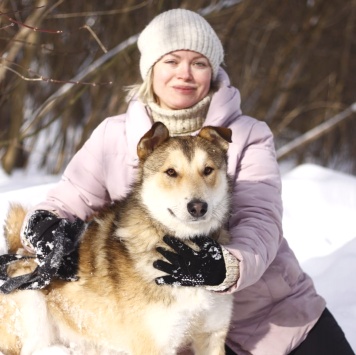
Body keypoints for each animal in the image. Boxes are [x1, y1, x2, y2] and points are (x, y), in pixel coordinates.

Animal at [0, 122, 235, 355]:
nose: (198, 207)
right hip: (31, 301)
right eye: (171, 172)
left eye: (208, 170)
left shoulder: (211, 335)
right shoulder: (153, 344)